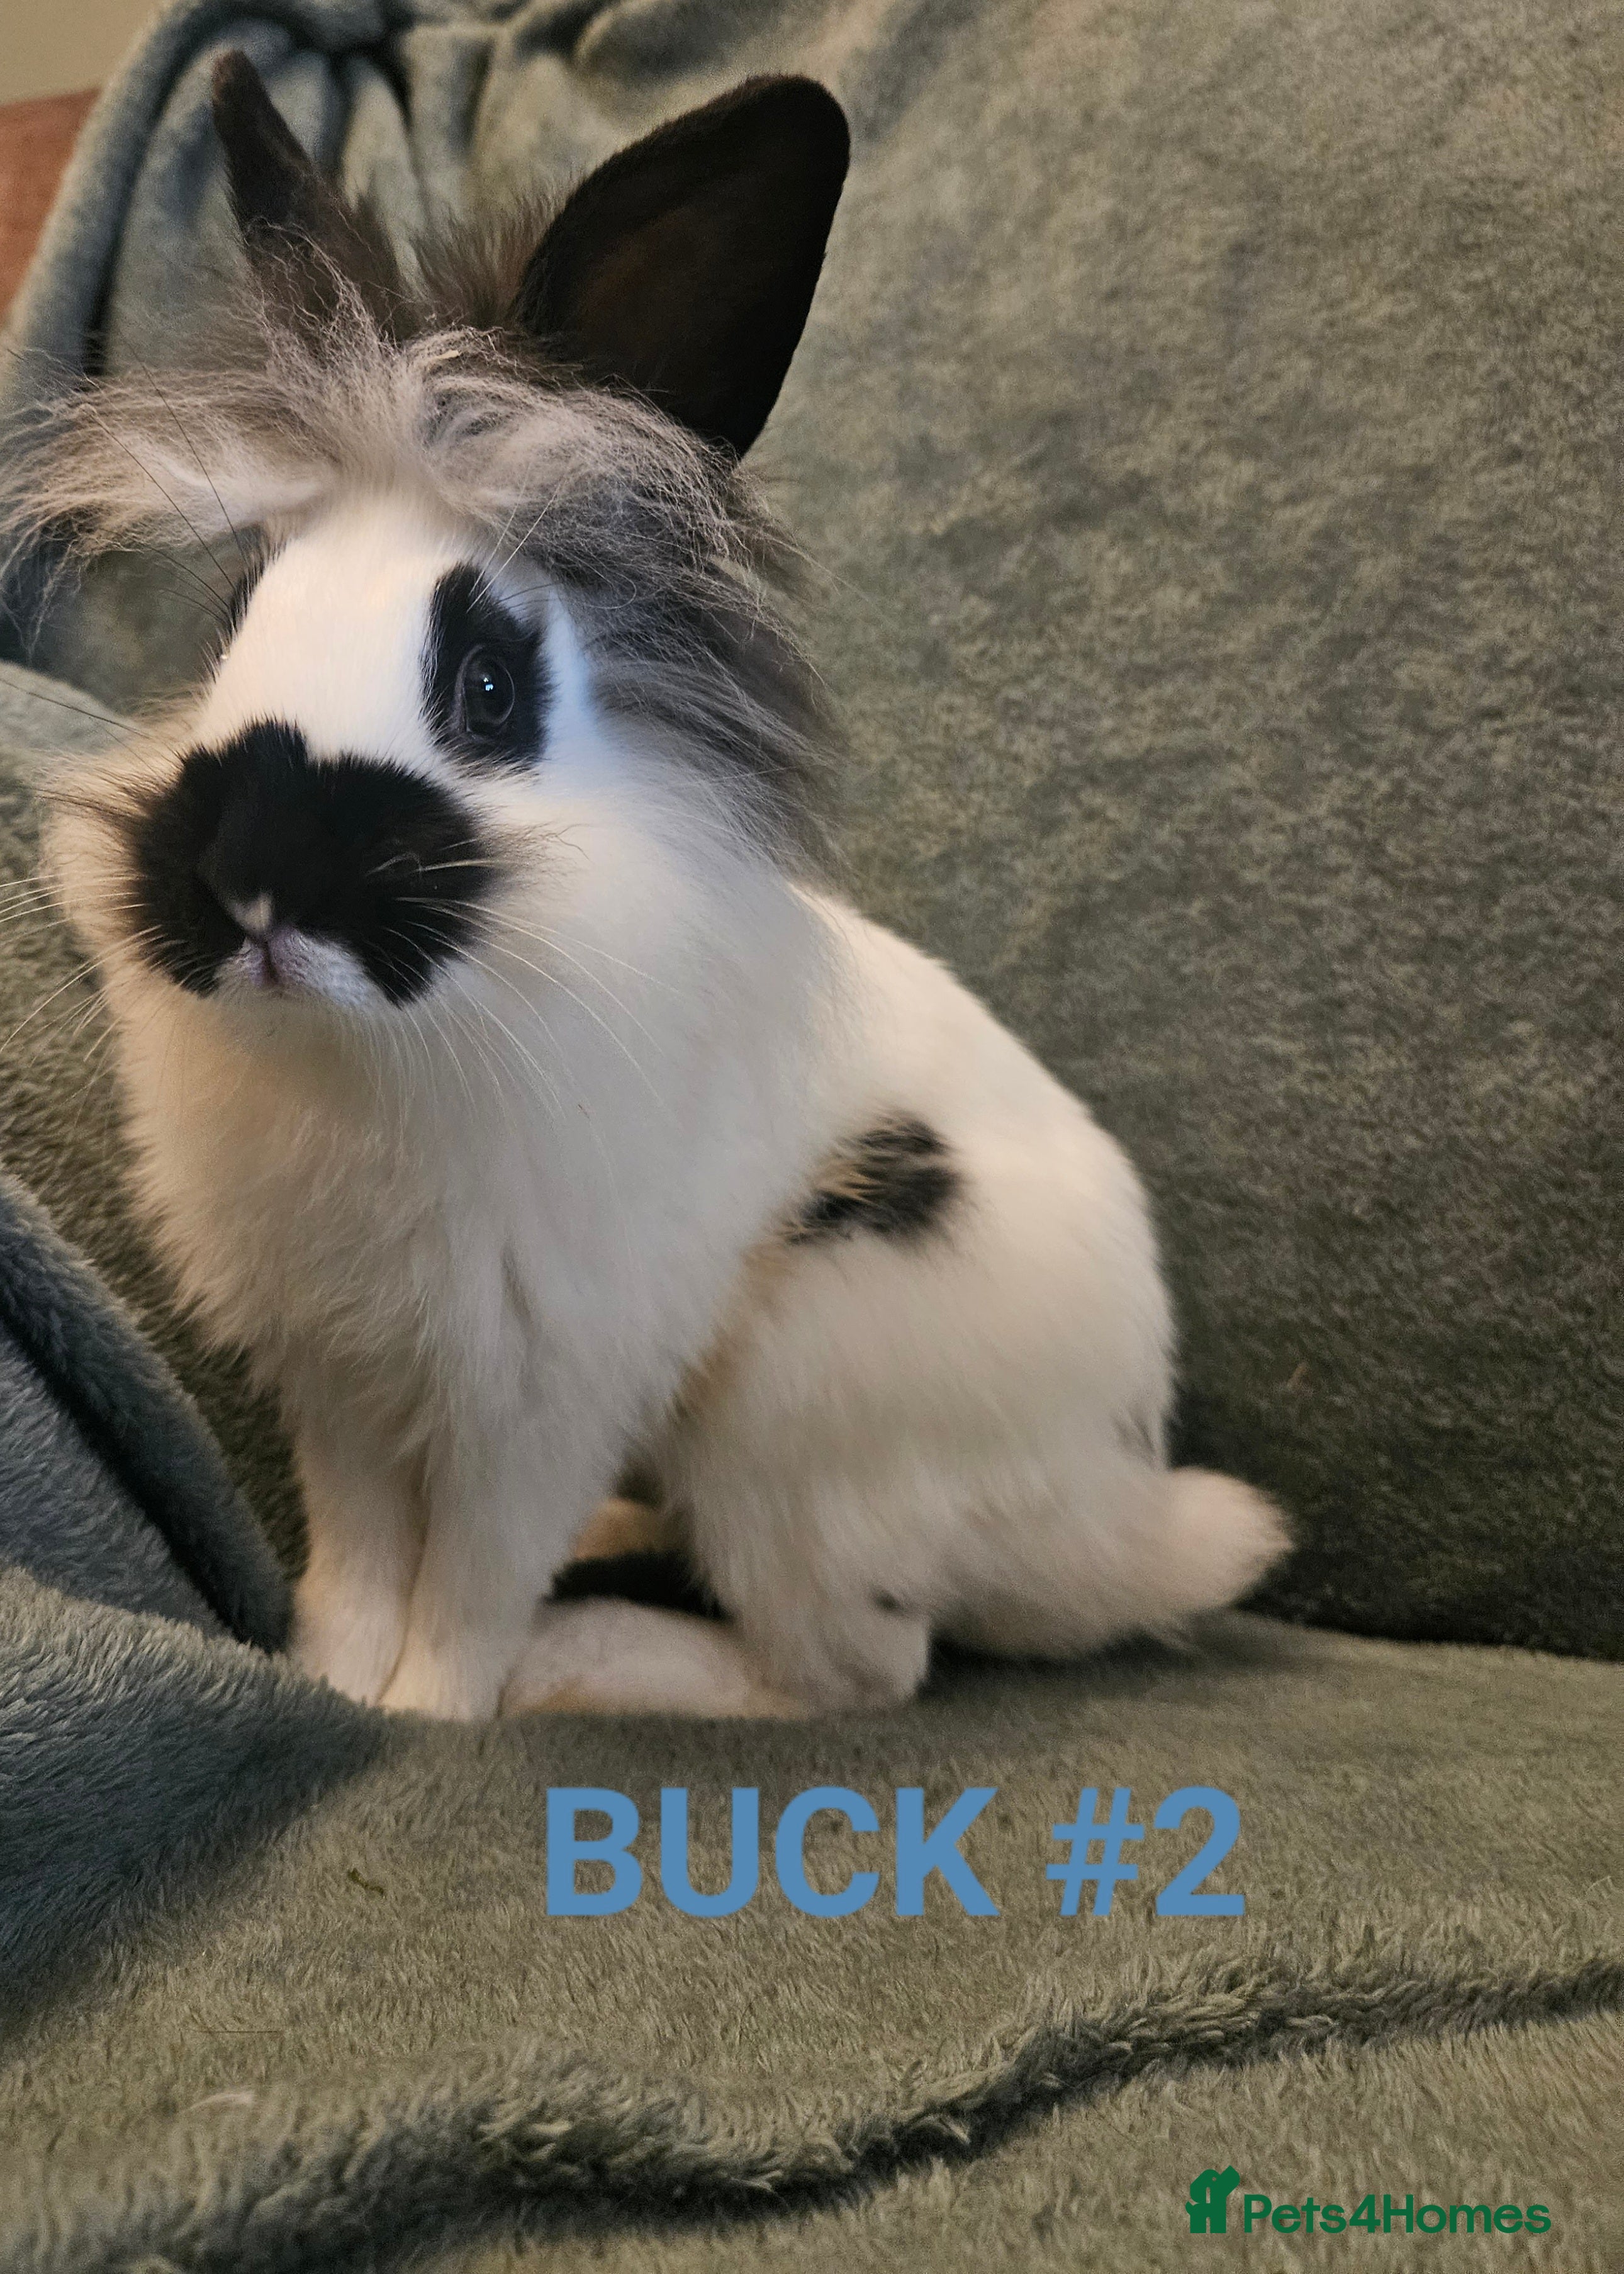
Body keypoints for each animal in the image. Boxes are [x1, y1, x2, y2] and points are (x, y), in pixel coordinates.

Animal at [11, 53, 1287, 1720]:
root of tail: (1110, 1516)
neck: (380, 1055)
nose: (252, 886)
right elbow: (362, 1559)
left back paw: (589, 1655)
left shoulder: (542, 1391)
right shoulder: (339, 1379)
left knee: (850, 1671)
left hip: (799, 1424)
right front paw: (331, 1679)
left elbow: (470, 1584)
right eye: (234, 620)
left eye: (490, 686)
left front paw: (430, 1712)